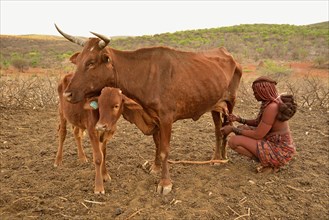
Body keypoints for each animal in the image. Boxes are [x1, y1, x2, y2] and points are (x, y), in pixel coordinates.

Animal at [55, 24, 241, 195]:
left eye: (91, 62)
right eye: (79, 61)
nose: (67, 94)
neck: (144, 74)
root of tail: (227, 53)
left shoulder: (166, 118)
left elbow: (165, 150)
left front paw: (165, 183)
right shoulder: (154, 117)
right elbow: (157, 144)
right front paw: (155, 167)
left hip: (231, 101)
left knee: (227, 127)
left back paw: (223, 157)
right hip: (215, 105)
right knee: (218, 130)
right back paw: (217, 158)